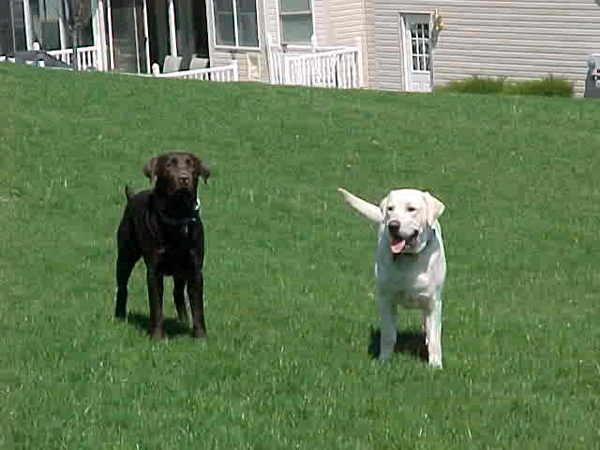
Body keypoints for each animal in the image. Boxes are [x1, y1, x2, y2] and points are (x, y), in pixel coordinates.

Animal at [338, 188, 446, 368]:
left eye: (411, 209)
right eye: (390, 209)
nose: (393, 225)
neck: (409, 257)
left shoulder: (433, 302)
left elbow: (434, 338)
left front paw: (435, 365)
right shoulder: (386, 300)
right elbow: (388, 334)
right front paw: (384, 360)